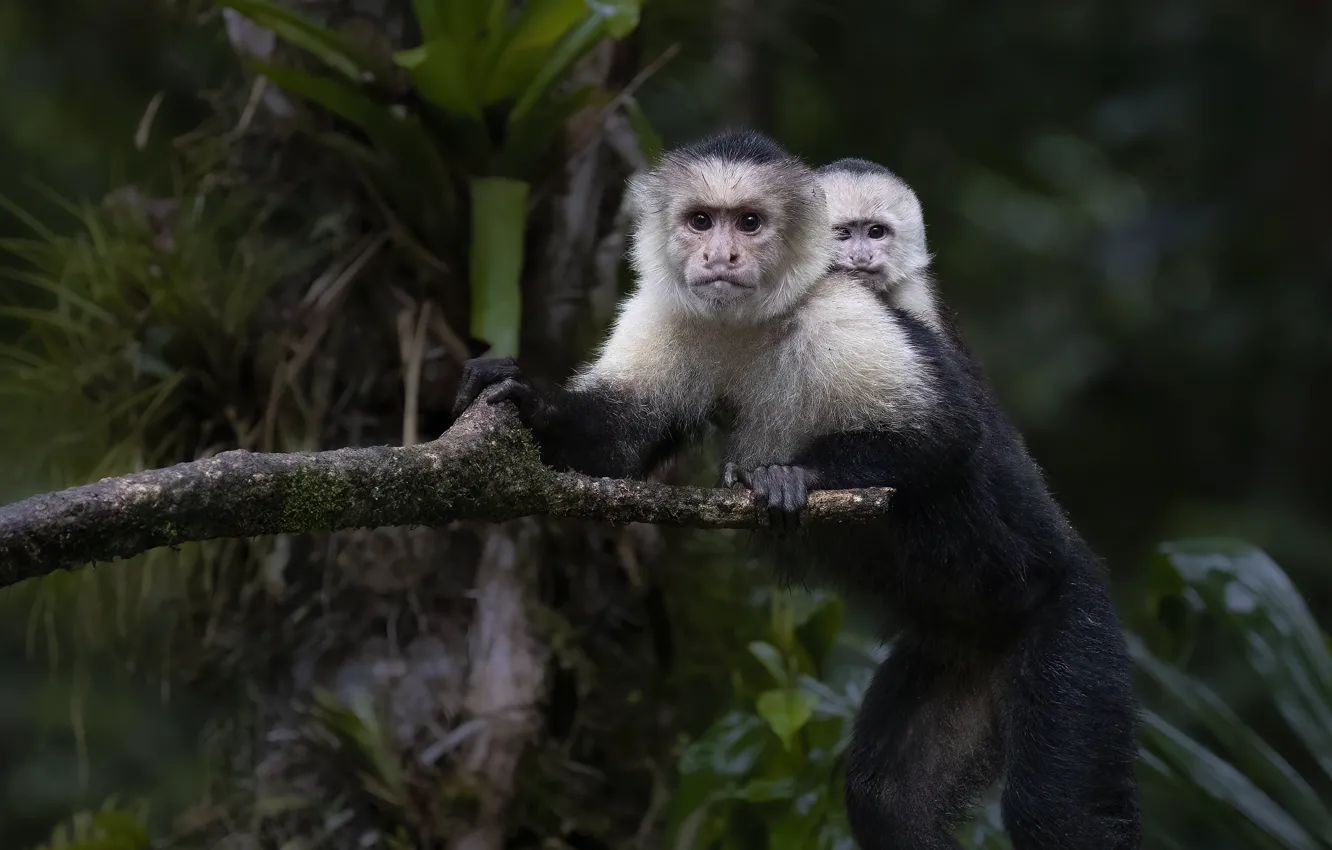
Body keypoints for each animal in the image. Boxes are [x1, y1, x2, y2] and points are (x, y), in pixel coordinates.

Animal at [450, 130, 1142, 850]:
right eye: (702, 221)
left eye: (750, 223)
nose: (720, 255)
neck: (752, 318)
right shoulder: (666, 309)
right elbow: (613, 444)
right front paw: (525, 399)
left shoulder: (845, 309)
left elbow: (950, 433)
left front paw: (790, 477)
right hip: (958, 652)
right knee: (886, 802)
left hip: (1072, 618)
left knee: (1056, 815)